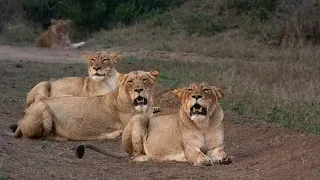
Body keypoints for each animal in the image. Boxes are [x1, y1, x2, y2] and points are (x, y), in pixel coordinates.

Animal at [76, 82, 234, 167]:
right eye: (189, 90)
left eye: (206, 89)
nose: (196, 96)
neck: (203, 124)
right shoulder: (189, 147)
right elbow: (197, 153)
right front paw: (204, 159)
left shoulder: (215, 147)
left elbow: (220, 151)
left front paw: (225, 158)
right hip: (140, 118)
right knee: (134, 156)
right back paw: (146, 157)